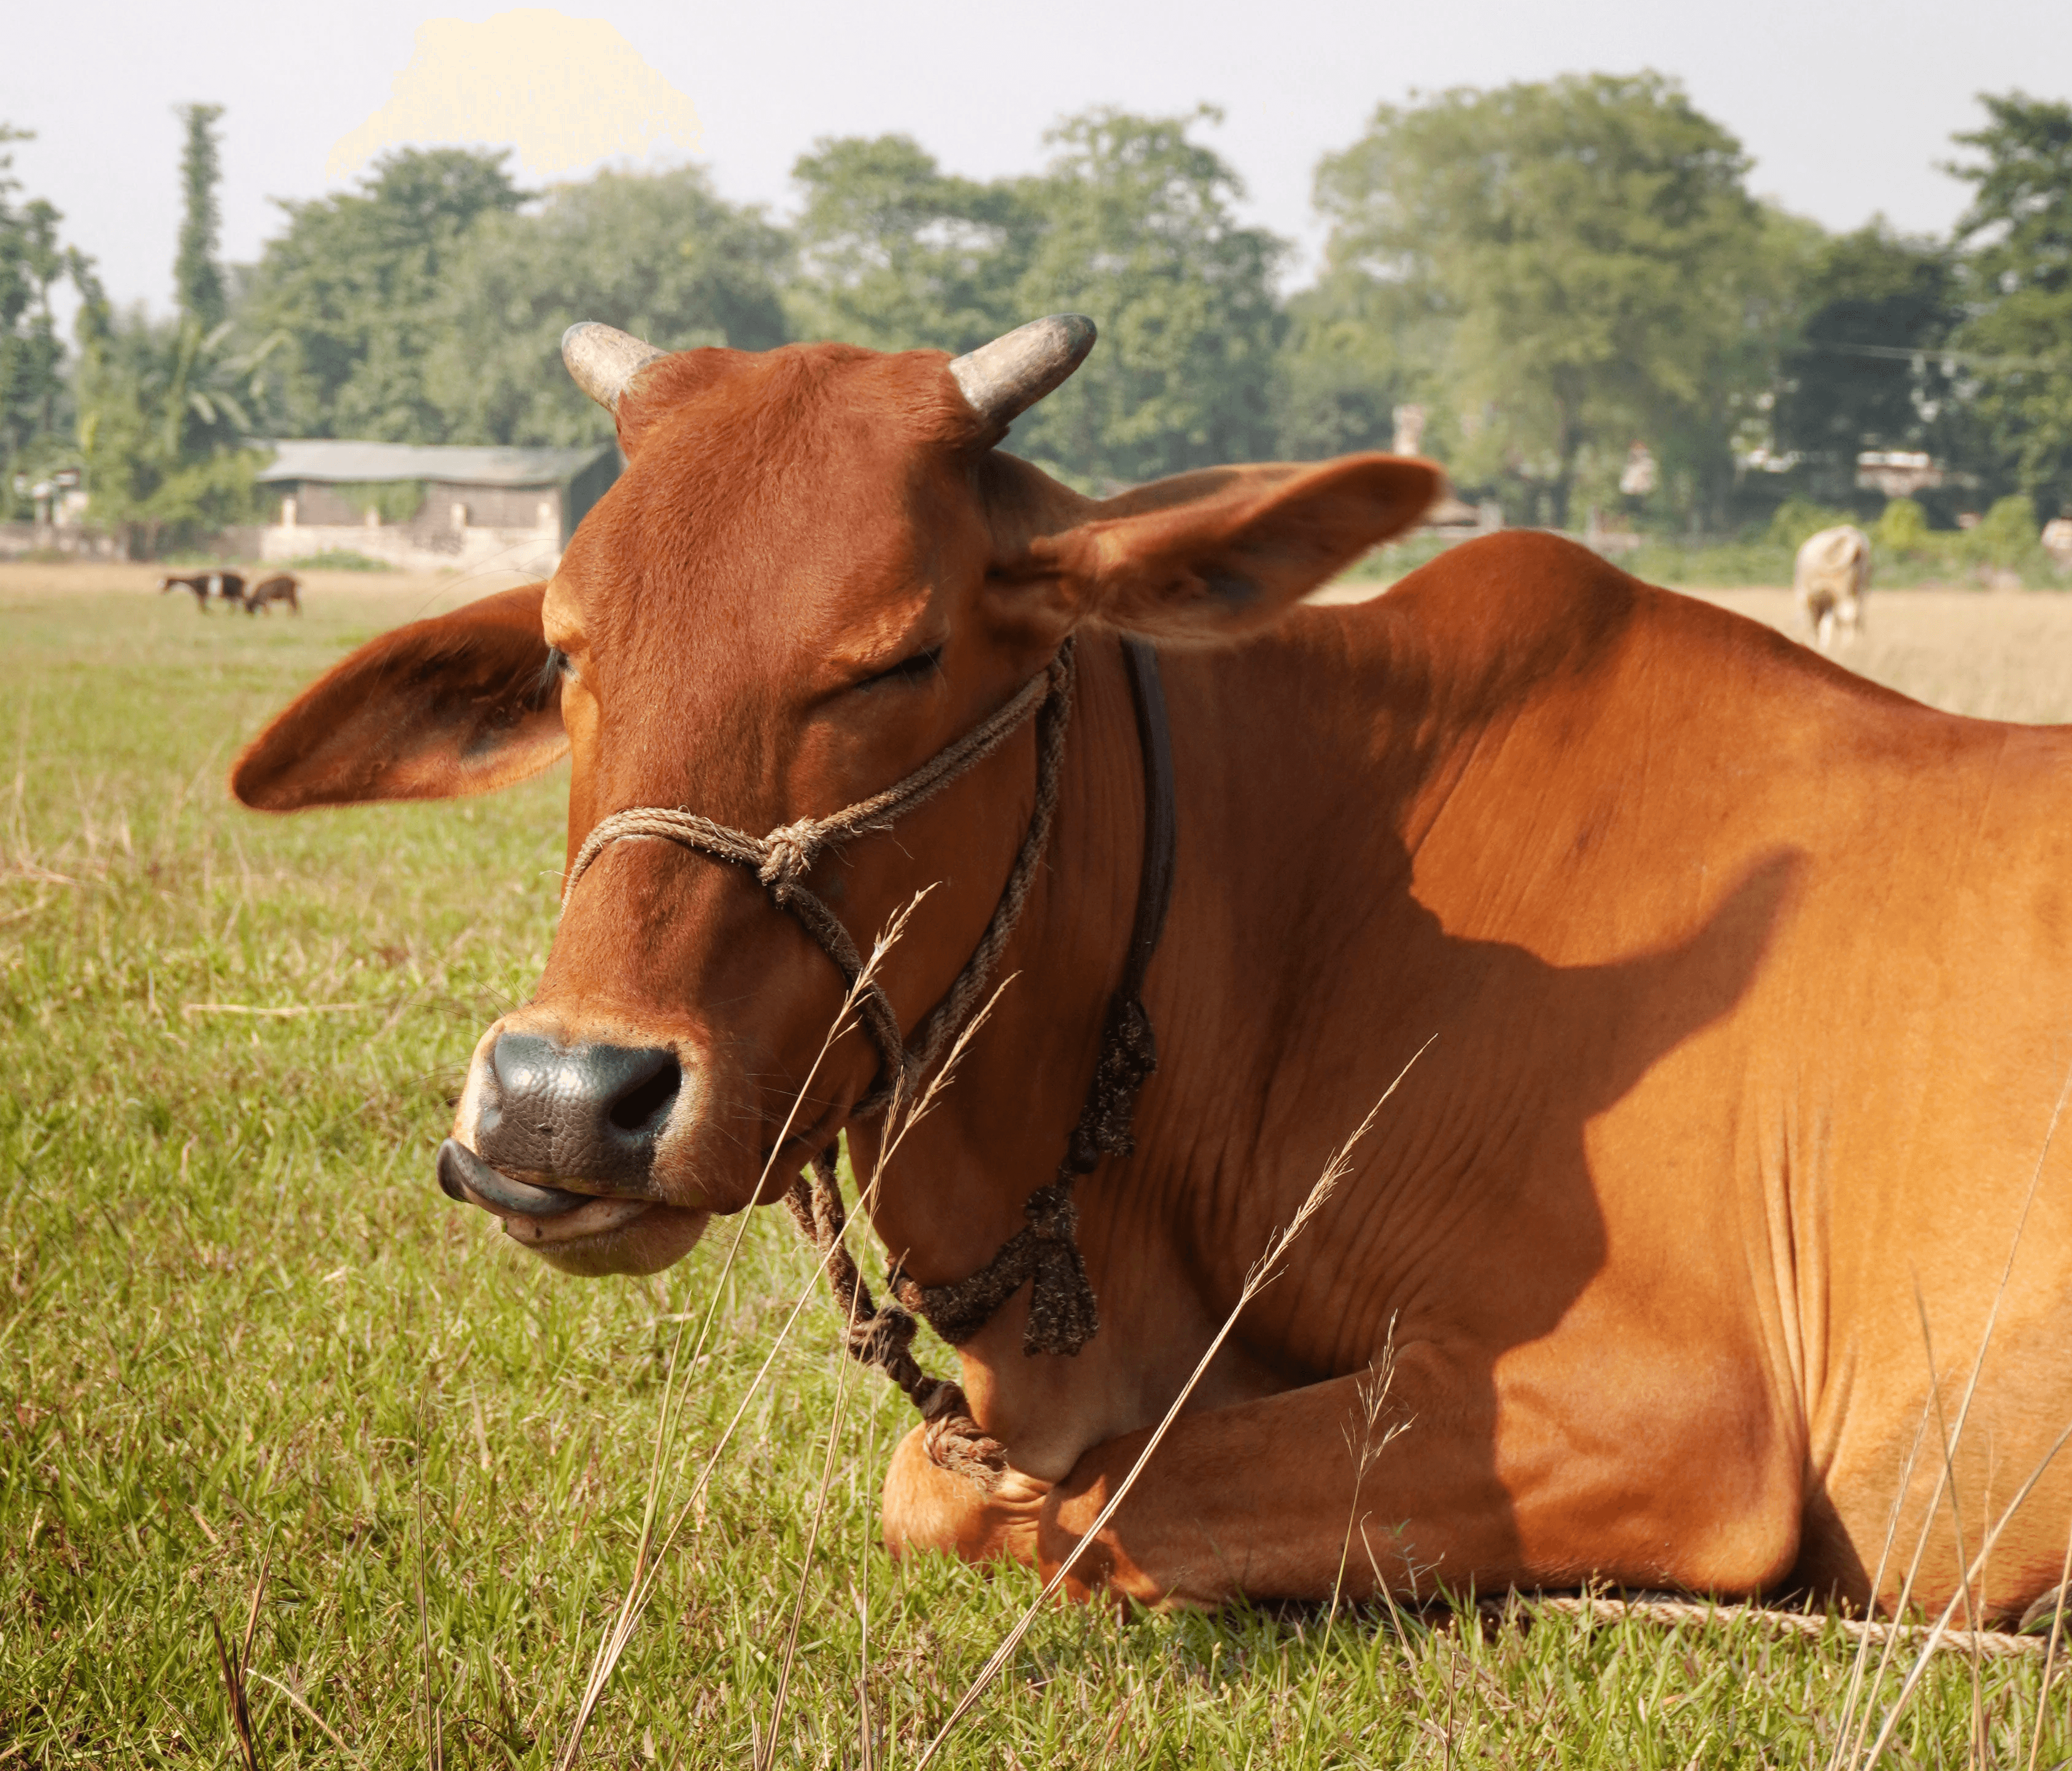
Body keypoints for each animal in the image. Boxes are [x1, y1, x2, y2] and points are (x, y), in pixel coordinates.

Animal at [1793, 525, 1870, 649]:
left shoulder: (1807, 597)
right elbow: (1826, 624)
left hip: (1843, 589)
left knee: (1847, 614)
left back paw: (1847, 646)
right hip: (1860, 588)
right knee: (1857, 615)